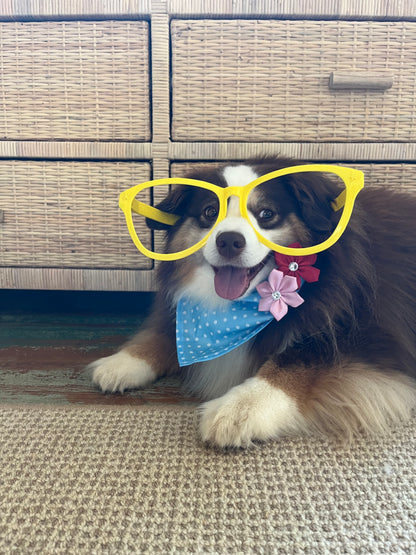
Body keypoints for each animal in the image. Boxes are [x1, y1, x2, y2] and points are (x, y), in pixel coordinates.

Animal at [92, 156, 416, 448]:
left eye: (266, 213)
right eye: (210, 212)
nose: (229, 241)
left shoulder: (368, 335)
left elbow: (296, 359)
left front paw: (240, 408)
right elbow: (167, 334)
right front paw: (124, 361)